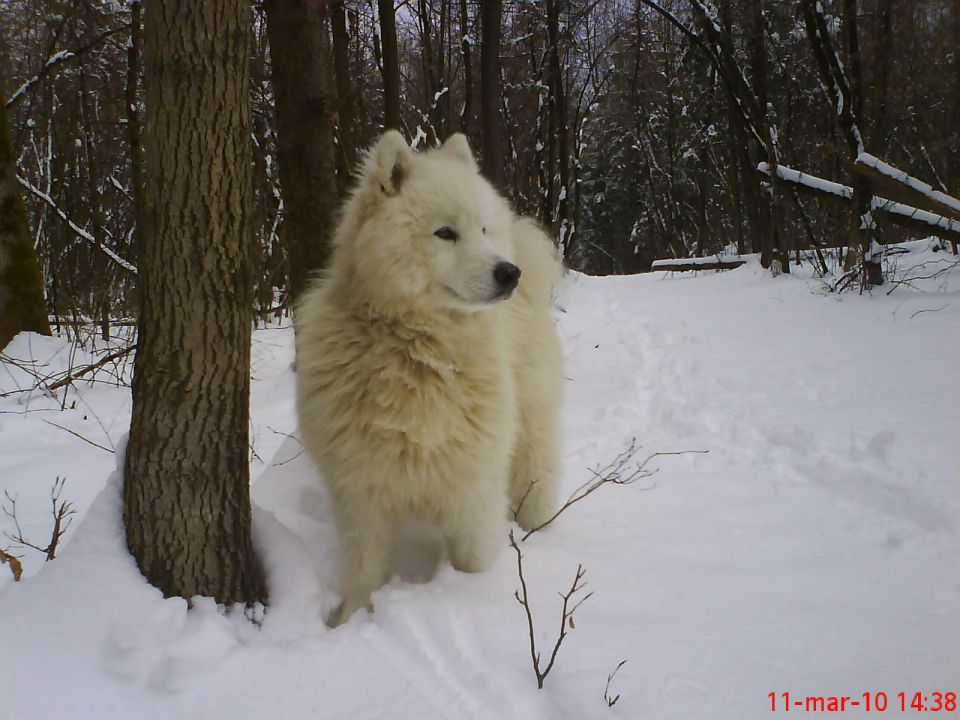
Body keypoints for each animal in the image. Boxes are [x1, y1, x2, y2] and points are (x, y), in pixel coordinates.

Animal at [294, 131, 564, 624]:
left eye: (482, 230)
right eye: (445, 233)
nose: (509, 272)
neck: (421, 354)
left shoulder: (472, 482)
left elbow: (473, 557)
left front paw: (475, 594)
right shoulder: (361, 491)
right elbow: (364, 568)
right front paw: (348, 620)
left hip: (531, 431)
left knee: (537, 479)